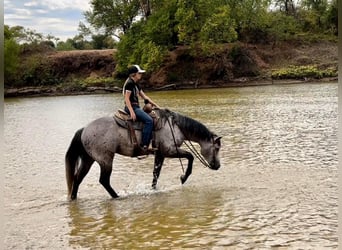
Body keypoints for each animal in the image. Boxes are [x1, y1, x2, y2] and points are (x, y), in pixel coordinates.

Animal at [65, 108, 222, 200]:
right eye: (217, 148)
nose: (218, 166)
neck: (175, 126)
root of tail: (84, 129)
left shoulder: (160, 154)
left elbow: (156, 174)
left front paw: (153, 189)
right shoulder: (169, 151)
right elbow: (190, 156)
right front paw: (183, 177)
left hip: (88, 159)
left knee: (77, 178)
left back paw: (73, 199)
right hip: (105, 160)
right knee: (103, 180)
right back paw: (117, 196)